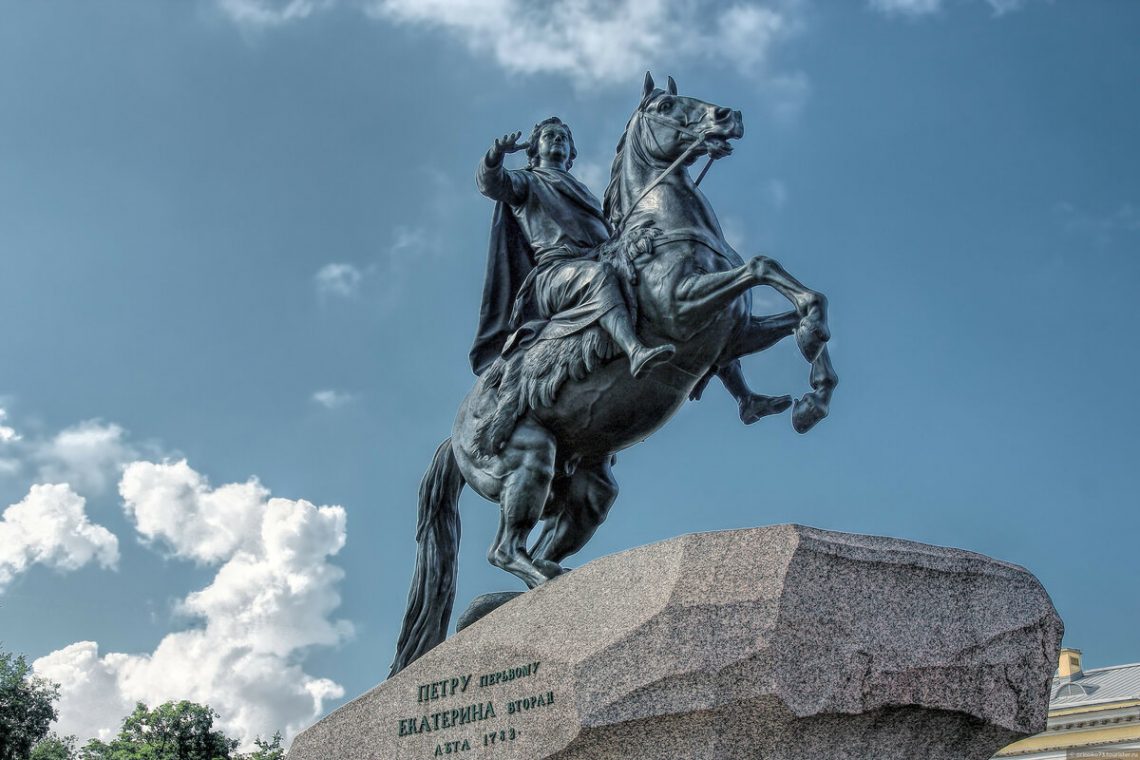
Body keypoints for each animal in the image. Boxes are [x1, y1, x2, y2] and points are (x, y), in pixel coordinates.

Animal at [392, 74, 839, 674]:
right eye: (666, 104)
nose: (729, 115)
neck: (666, 226)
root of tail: (454, 436)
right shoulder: (684, 307)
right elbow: (763, 266)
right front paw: (499, 155)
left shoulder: (734, 332)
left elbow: (800, 303)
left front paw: (814, 394)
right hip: (528, 459)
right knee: (505, 549)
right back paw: (545, 589)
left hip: (587, 492)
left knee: (539, 544)